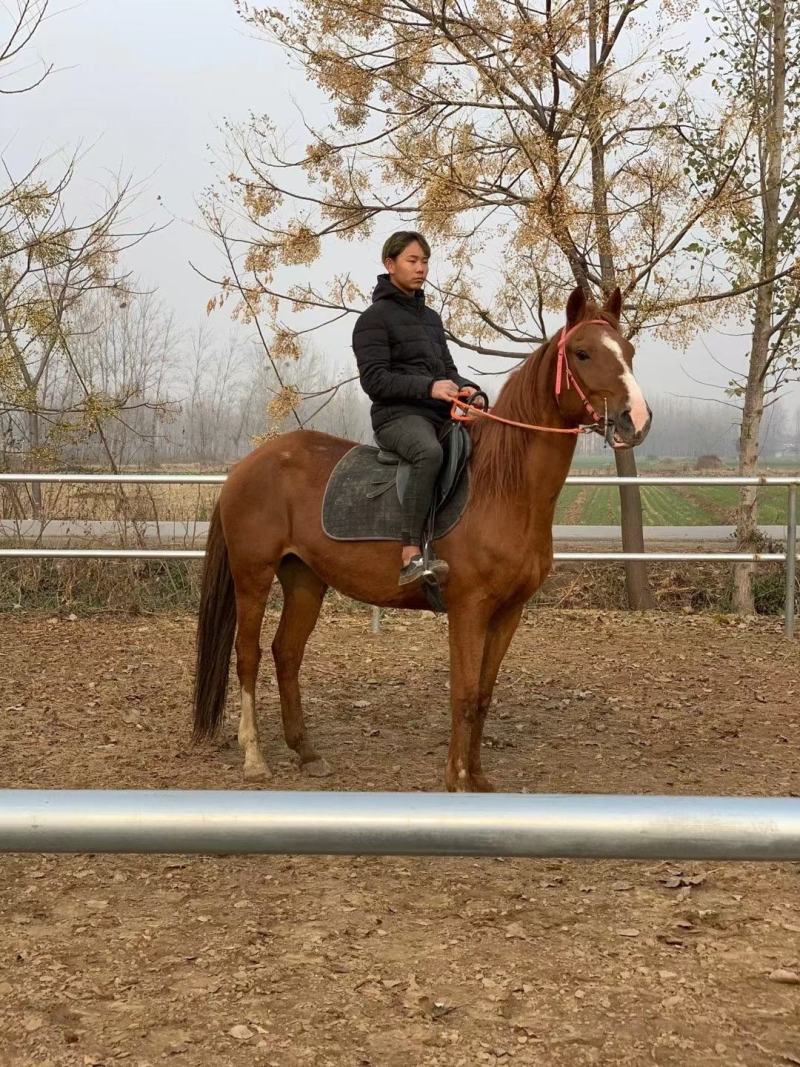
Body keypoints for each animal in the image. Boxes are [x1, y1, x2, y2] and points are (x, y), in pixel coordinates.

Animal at [192, 285, 651, 792]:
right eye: (583, 353)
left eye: (629, 352)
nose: (635, 420)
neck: (502, 488)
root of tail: (248, 464)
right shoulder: (468, 609)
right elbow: (464, 694)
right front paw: (457, 780)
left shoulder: (508, 613)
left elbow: (484, 694)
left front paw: (479, 778)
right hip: (252, 576)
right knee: (248, 655)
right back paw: (255, 755)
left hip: (305, 579)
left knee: (286, 653)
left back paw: (307, 753)